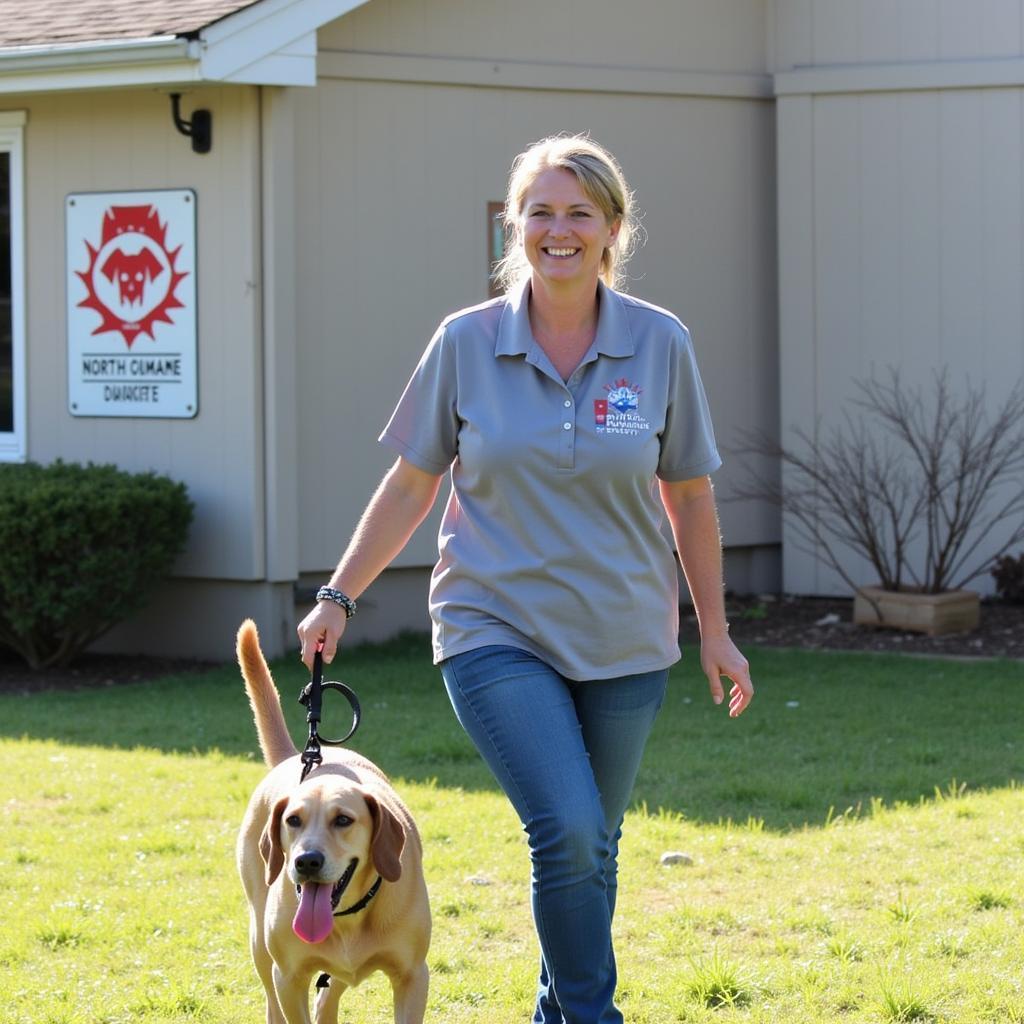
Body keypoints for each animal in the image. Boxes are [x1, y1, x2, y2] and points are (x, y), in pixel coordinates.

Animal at [234, 618, 428, 1019]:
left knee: (329, 994)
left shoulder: (414, 976)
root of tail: (294, 756)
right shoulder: (288, 978)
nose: (306, 861)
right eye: (293, 821)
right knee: (271, 999)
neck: (349, 917)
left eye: (343, 820)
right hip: (260, 942)